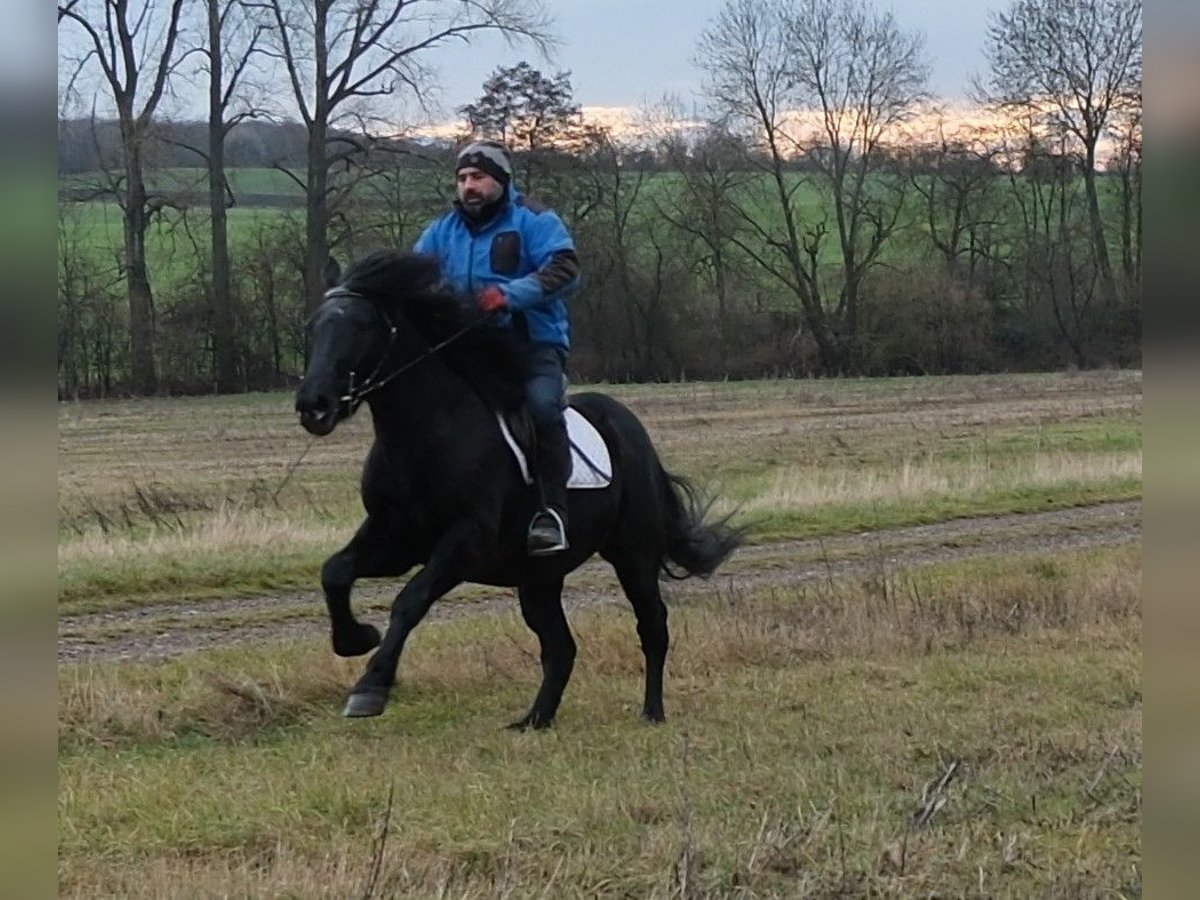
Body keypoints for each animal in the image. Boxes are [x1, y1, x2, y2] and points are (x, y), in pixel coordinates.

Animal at [295, 251, 742, 729]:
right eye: (313, 326)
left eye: (362, 326)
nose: (313, 405)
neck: (425, 436)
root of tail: (628, 426)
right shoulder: (395, 539)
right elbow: (335, 572)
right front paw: (355, 638)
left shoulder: (465, 542)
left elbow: (410, 600)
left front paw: (370, 686)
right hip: (538, 578)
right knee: (561, 647)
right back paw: (535, 720)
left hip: (633, 554)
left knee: (652, 626)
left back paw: (652, 712)